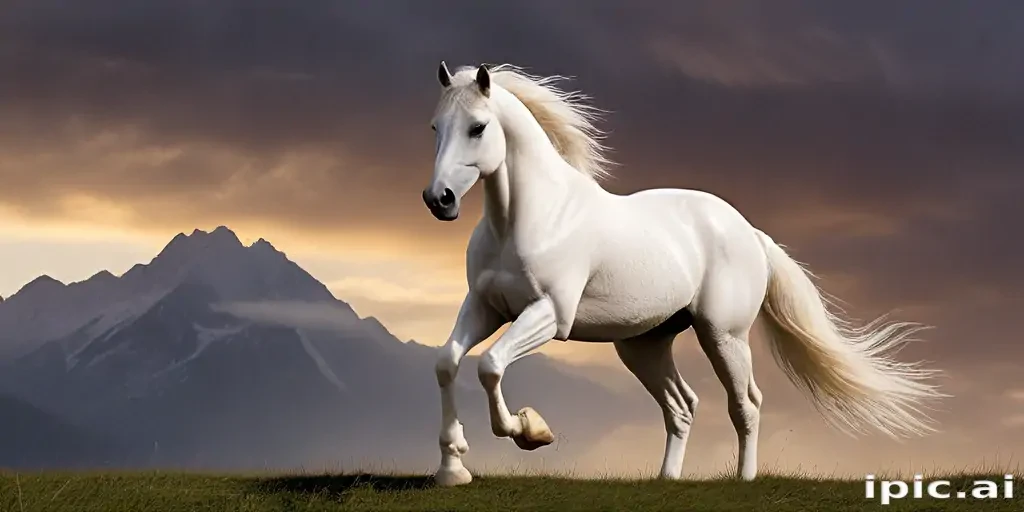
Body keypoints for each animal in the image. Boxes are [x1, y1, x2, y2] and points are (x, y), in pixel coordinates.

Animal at [421, 61, 944, 487]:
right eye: (435, 127)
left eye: (478, 127)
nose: (438, 199)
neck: (532, 218)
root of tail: (751, 233)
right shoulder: (485, 307)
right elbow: (447, 362)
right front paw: (454, 467)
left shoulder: (550, 314)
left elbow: (490, 365)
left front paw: (531, 431)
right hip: (643, 345)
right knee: (683, 406)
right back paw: (666, 479)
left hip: (722, 335)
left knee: (746, 402)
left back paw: (744, 480)